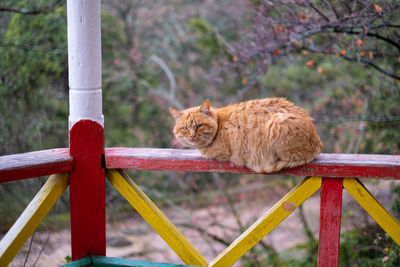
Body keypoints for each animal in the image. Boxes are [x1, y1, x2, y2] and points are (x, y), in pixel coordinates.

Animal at [169, 98, 322, 174]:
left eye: (199, 126)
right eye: (185, 128)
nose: (192, 136)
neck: (219, 122)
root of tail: (318, 144)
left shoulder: (222, 153)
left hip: (278, 122)